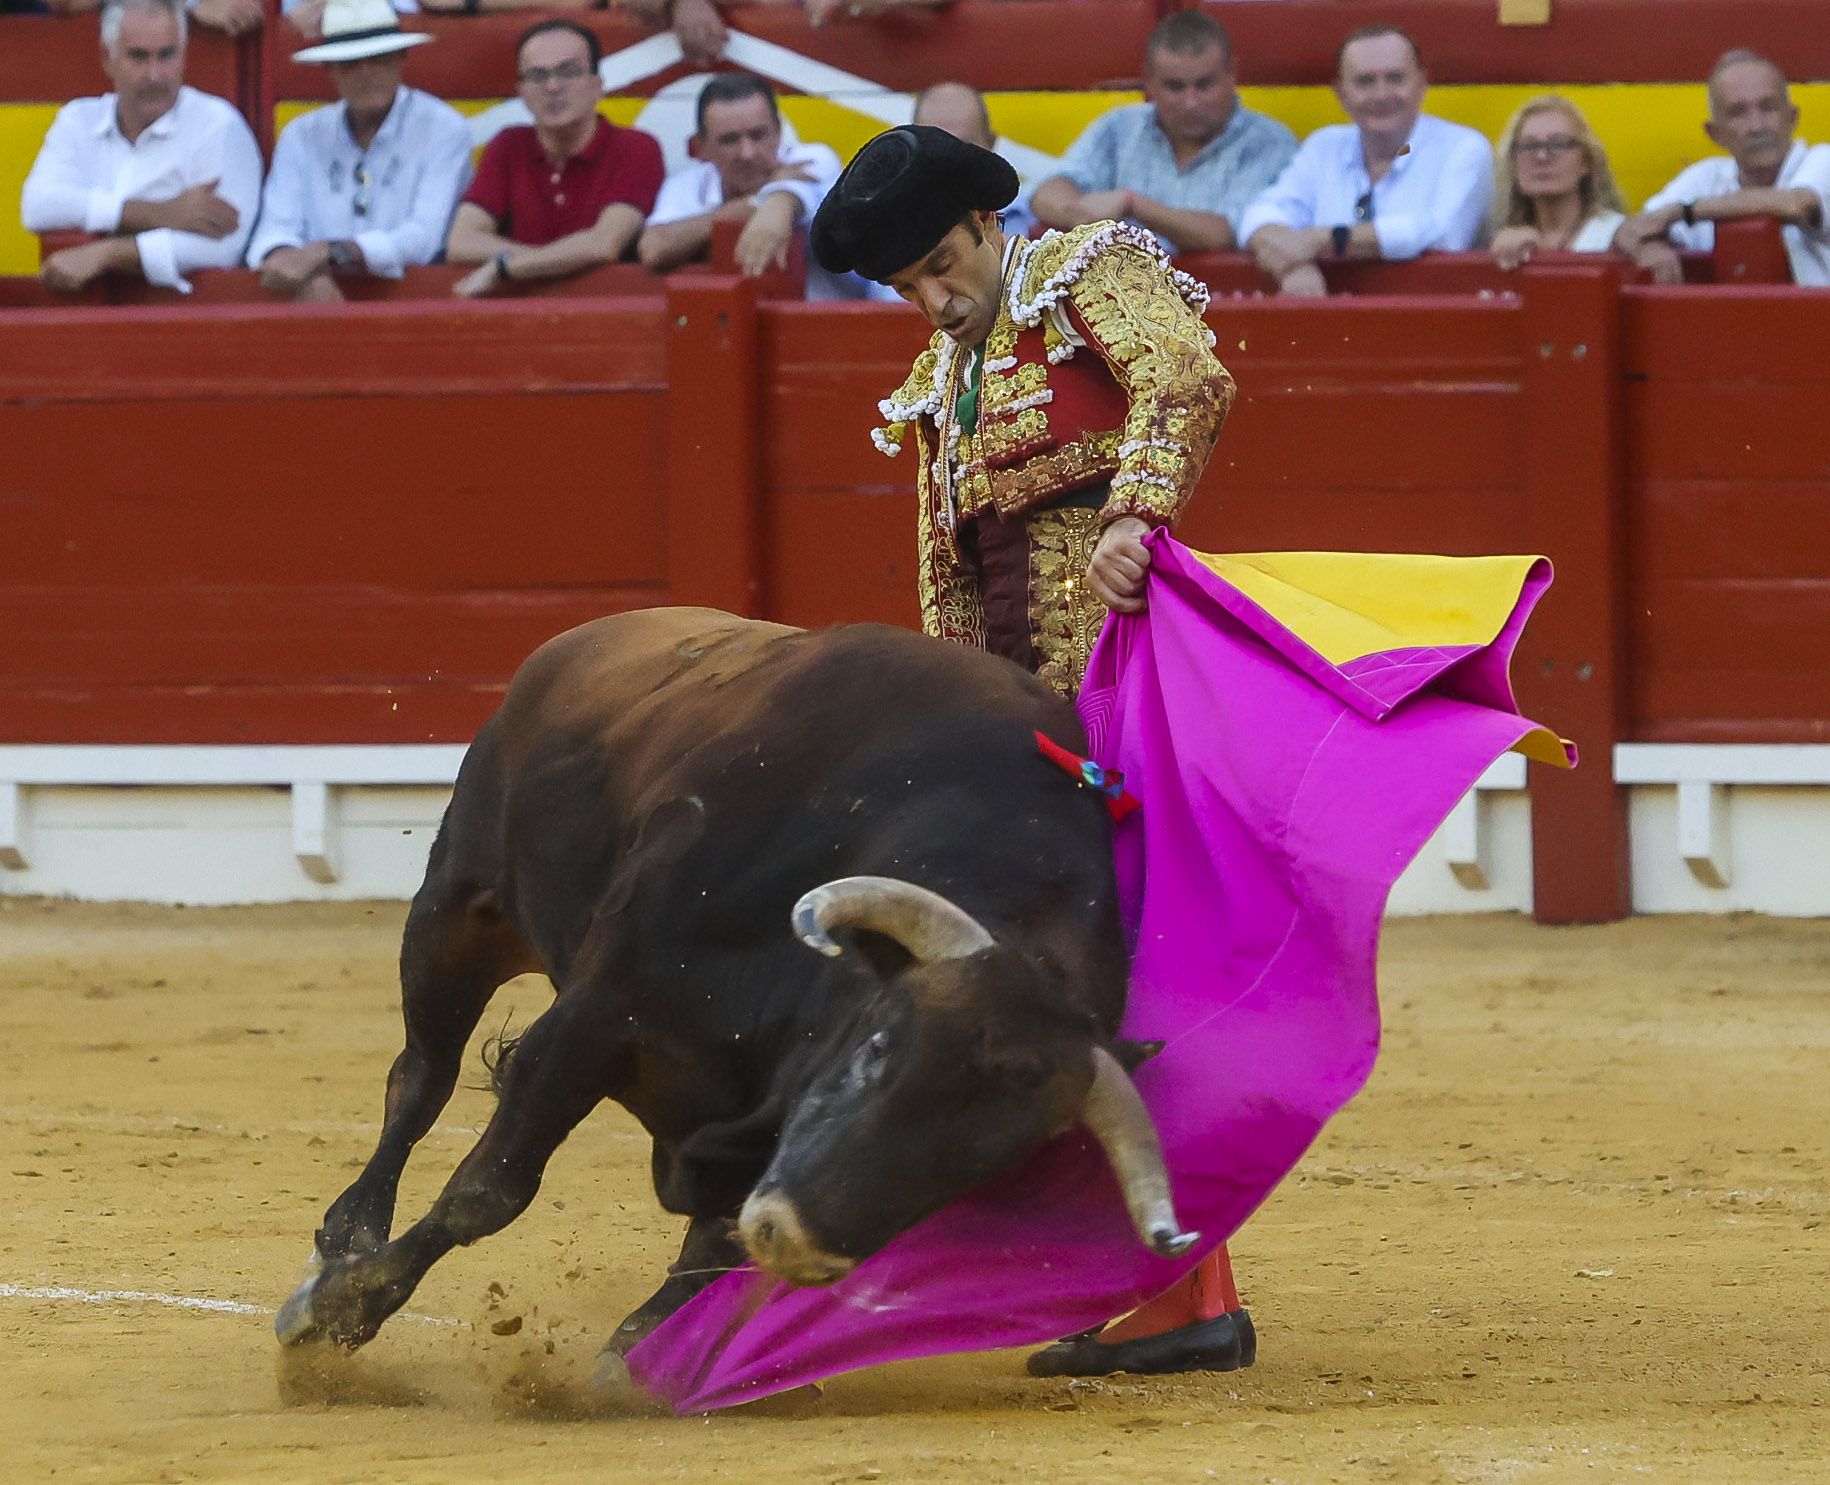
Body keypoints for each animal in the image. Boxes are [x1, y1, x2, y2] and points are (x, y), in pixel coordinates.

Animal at [267, 607, 1185, 1369]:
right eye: (878, 1048)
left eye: (985, 1162)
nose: (801, 1243)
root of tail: (586, 635)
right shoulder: (591, 1018)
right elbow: (488, 1190)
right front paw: (342, 1309)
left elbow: (706, 1255)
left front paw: (631, 1363)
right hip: (459, 907)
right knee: (420, 1078)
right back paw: (344, 1238)